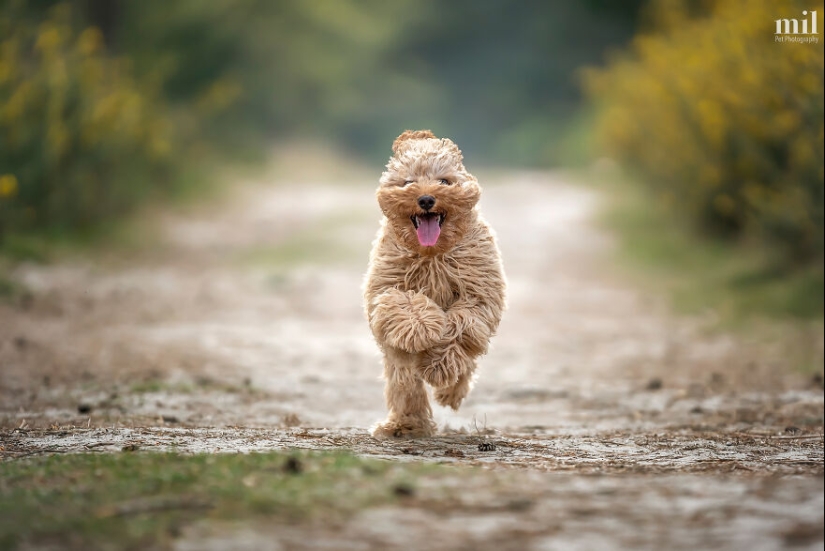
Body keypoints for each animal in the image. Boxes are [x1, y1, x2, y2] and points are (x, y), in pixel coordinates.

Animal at [364, 129, 506, 440]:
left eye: (444, 181)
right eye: (409, 182)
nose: (427, 199)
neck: (432, 254)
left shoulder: (479, 293)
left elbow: (461, 324)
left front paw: (439, 366)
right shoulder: (385, 288)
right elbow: (403, 303)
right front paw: (422, 328)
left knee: (466, 359)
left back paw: (449, 391)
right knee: (405, 383)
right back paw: (404, 424)